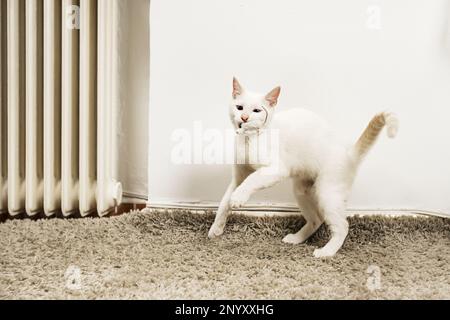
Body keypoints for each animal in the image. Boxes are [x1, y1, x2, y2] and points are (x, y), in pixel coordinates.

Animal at [207, 77, 398, 258]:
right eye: (239, 107)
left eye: (256, 111)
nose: (244, 118)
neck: (248, 140)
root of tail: (348, 154)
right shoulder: (238, 177)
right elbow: (224, 202)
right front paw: (216, 228)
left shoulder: (276, 169)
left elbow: (252, 180)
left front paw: (238, 198)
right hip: (301, 190)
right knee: (317, 219)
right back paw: (296, 239)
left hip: (327, 192)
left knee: (342, 226)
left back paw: (326, 252)